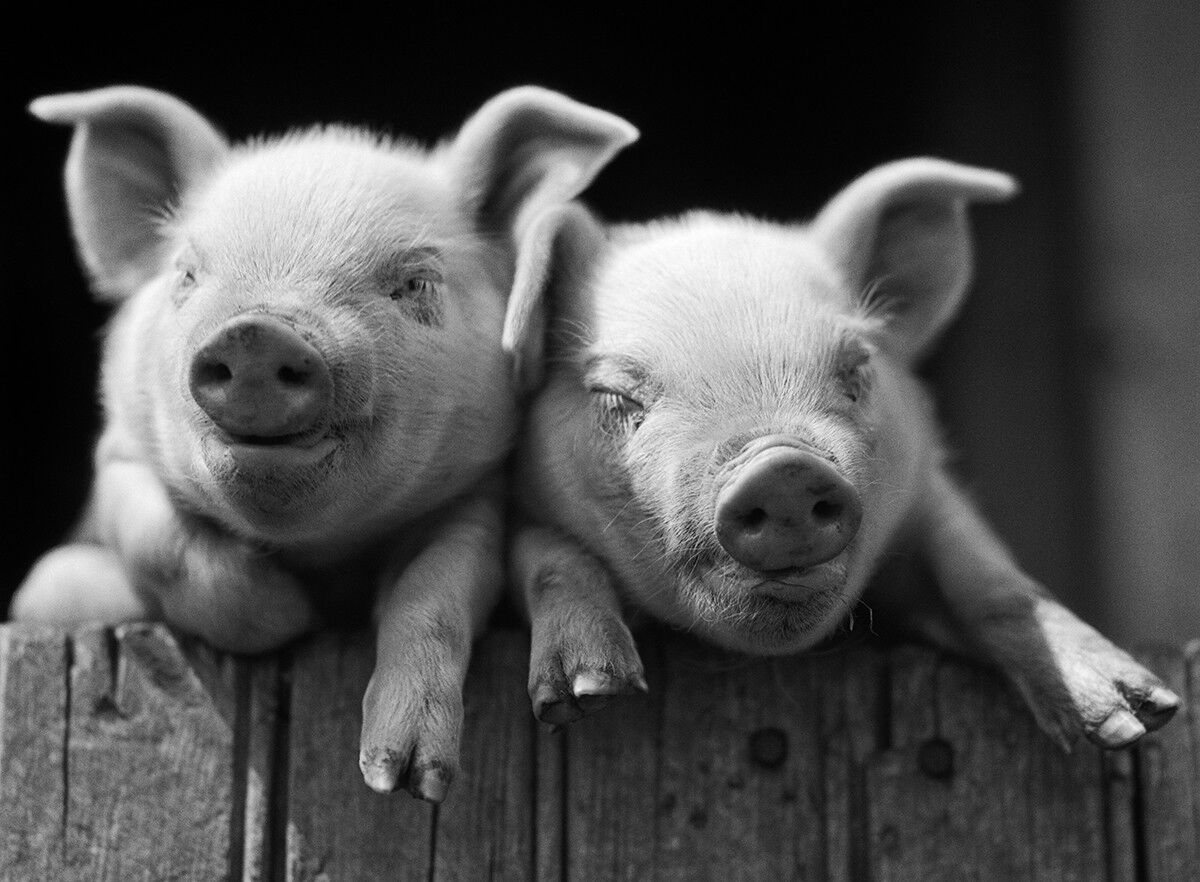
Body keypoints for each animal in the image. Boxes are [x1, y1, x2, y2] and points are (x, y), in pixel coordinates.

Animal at [11, 84, 636, 800]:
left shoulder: (471, 498)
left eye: (416, 283)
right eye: (186, 275)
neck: (320, 555)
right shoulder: (118, 464)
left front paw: (404, 777)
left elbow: (436, 591)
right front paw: (294, 617)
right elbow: (165, 546)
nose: (256, 333)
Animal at [506, 158, 1181, 750]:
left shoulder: (928, 492)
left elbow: (993, 581)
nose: (781, 468)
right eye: (616, 395)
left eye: (856, 368)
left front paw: (1139, 717)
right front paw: (587, 692)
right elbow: (546, 553)